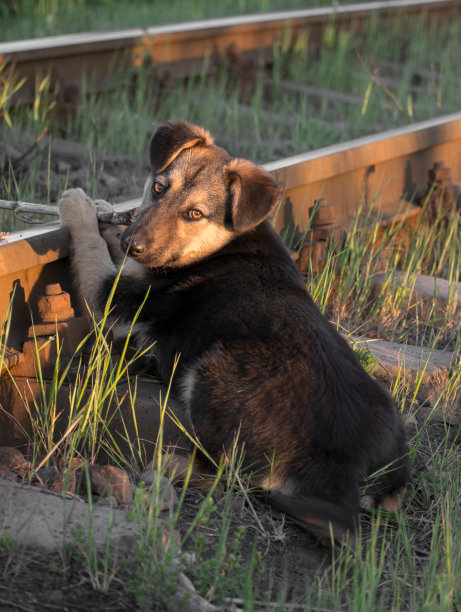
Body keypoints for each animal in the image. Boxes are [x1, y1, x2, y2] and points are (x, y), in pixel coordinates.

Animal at [59, 122, 408, 544]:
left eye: (195, 213)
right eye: (158, 188)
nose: (133, 245)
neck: (224, 242)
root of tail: (349, 467)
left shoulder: (115, 298)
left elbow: (91, 247)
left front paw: (78, 207)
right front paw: (105, 214)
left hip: (212, 370)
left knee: (226, 471)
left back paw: (170, 464)